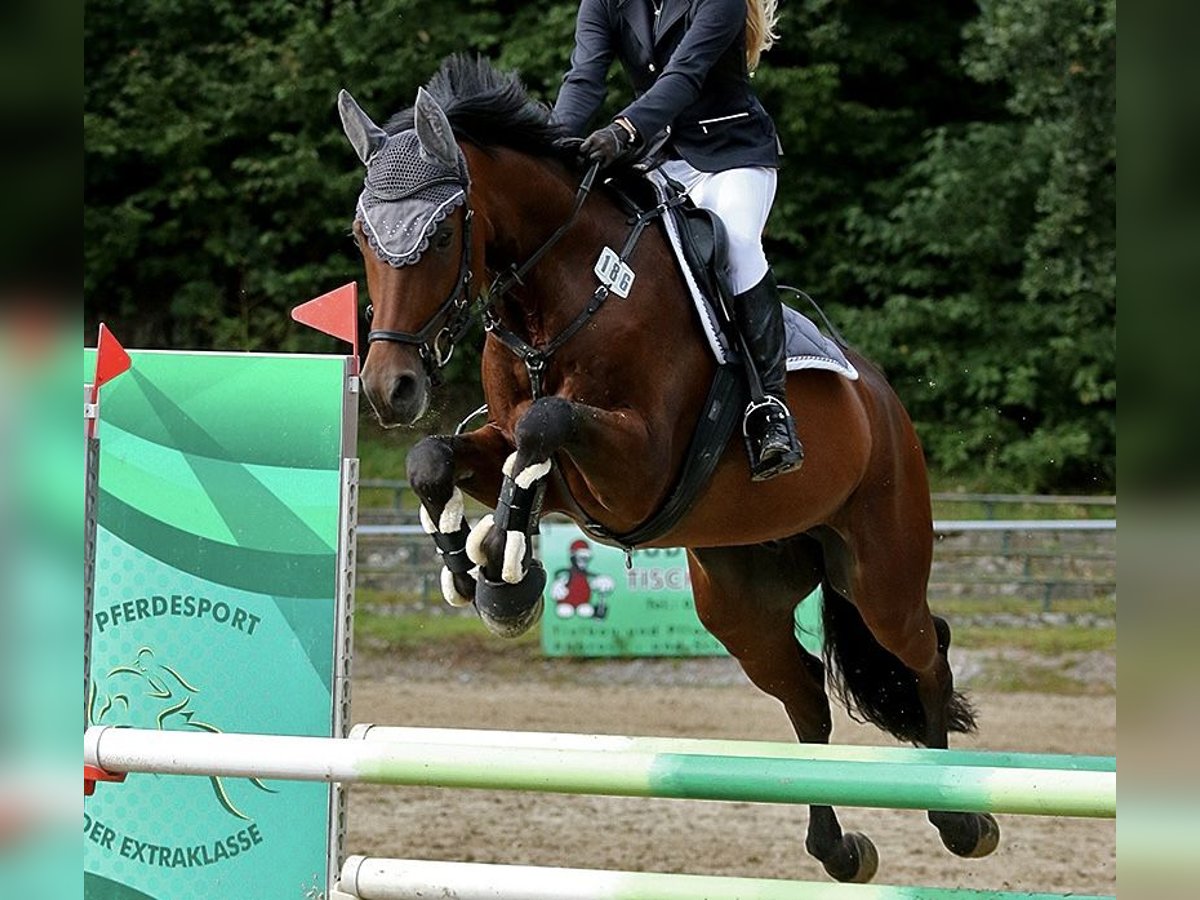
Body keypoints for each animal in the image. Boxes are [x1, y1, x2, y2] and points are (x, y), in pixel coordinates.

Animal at [338, 58, 993, 888]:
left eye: (445, 230)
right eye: (362, 234)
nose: (389, 389)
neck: (565, 293)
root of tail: (881, 400)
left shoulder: (636, 468)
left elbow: (544, 427)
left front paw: (506, 568)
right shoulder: (536, 458)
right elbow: (445, 457)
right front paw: (479, 564)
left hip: (881, 571)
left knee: (924, 652)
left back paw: (960, 817)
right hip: (739, 600)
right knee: (807, 695)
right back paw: (838, 848)